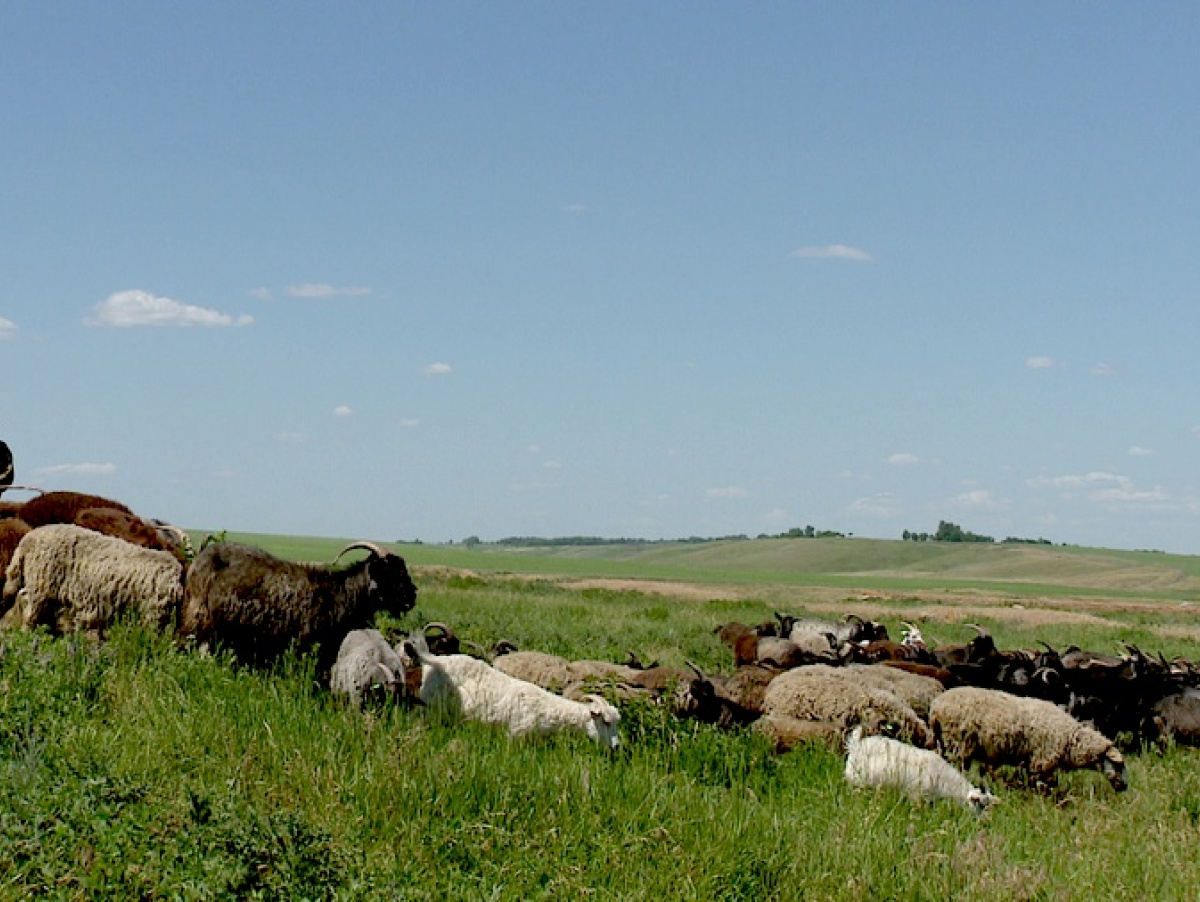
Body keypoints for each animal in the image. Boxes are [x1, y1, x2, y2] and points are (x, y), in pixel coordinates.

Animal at [178, 534, 417, 671]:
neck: (340, 593)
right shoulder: (305, 643)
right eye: (392, 572)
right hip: (199, 613)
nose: (412, 596)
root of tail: (202, 556)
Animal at [921, 690, 1128, 786]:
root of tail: (936, 707)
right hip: (958, 744)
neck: (1071, 738)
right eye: (1118, 765)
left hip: (942, 742)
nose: (1125, 787)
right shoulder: (1042, 760)